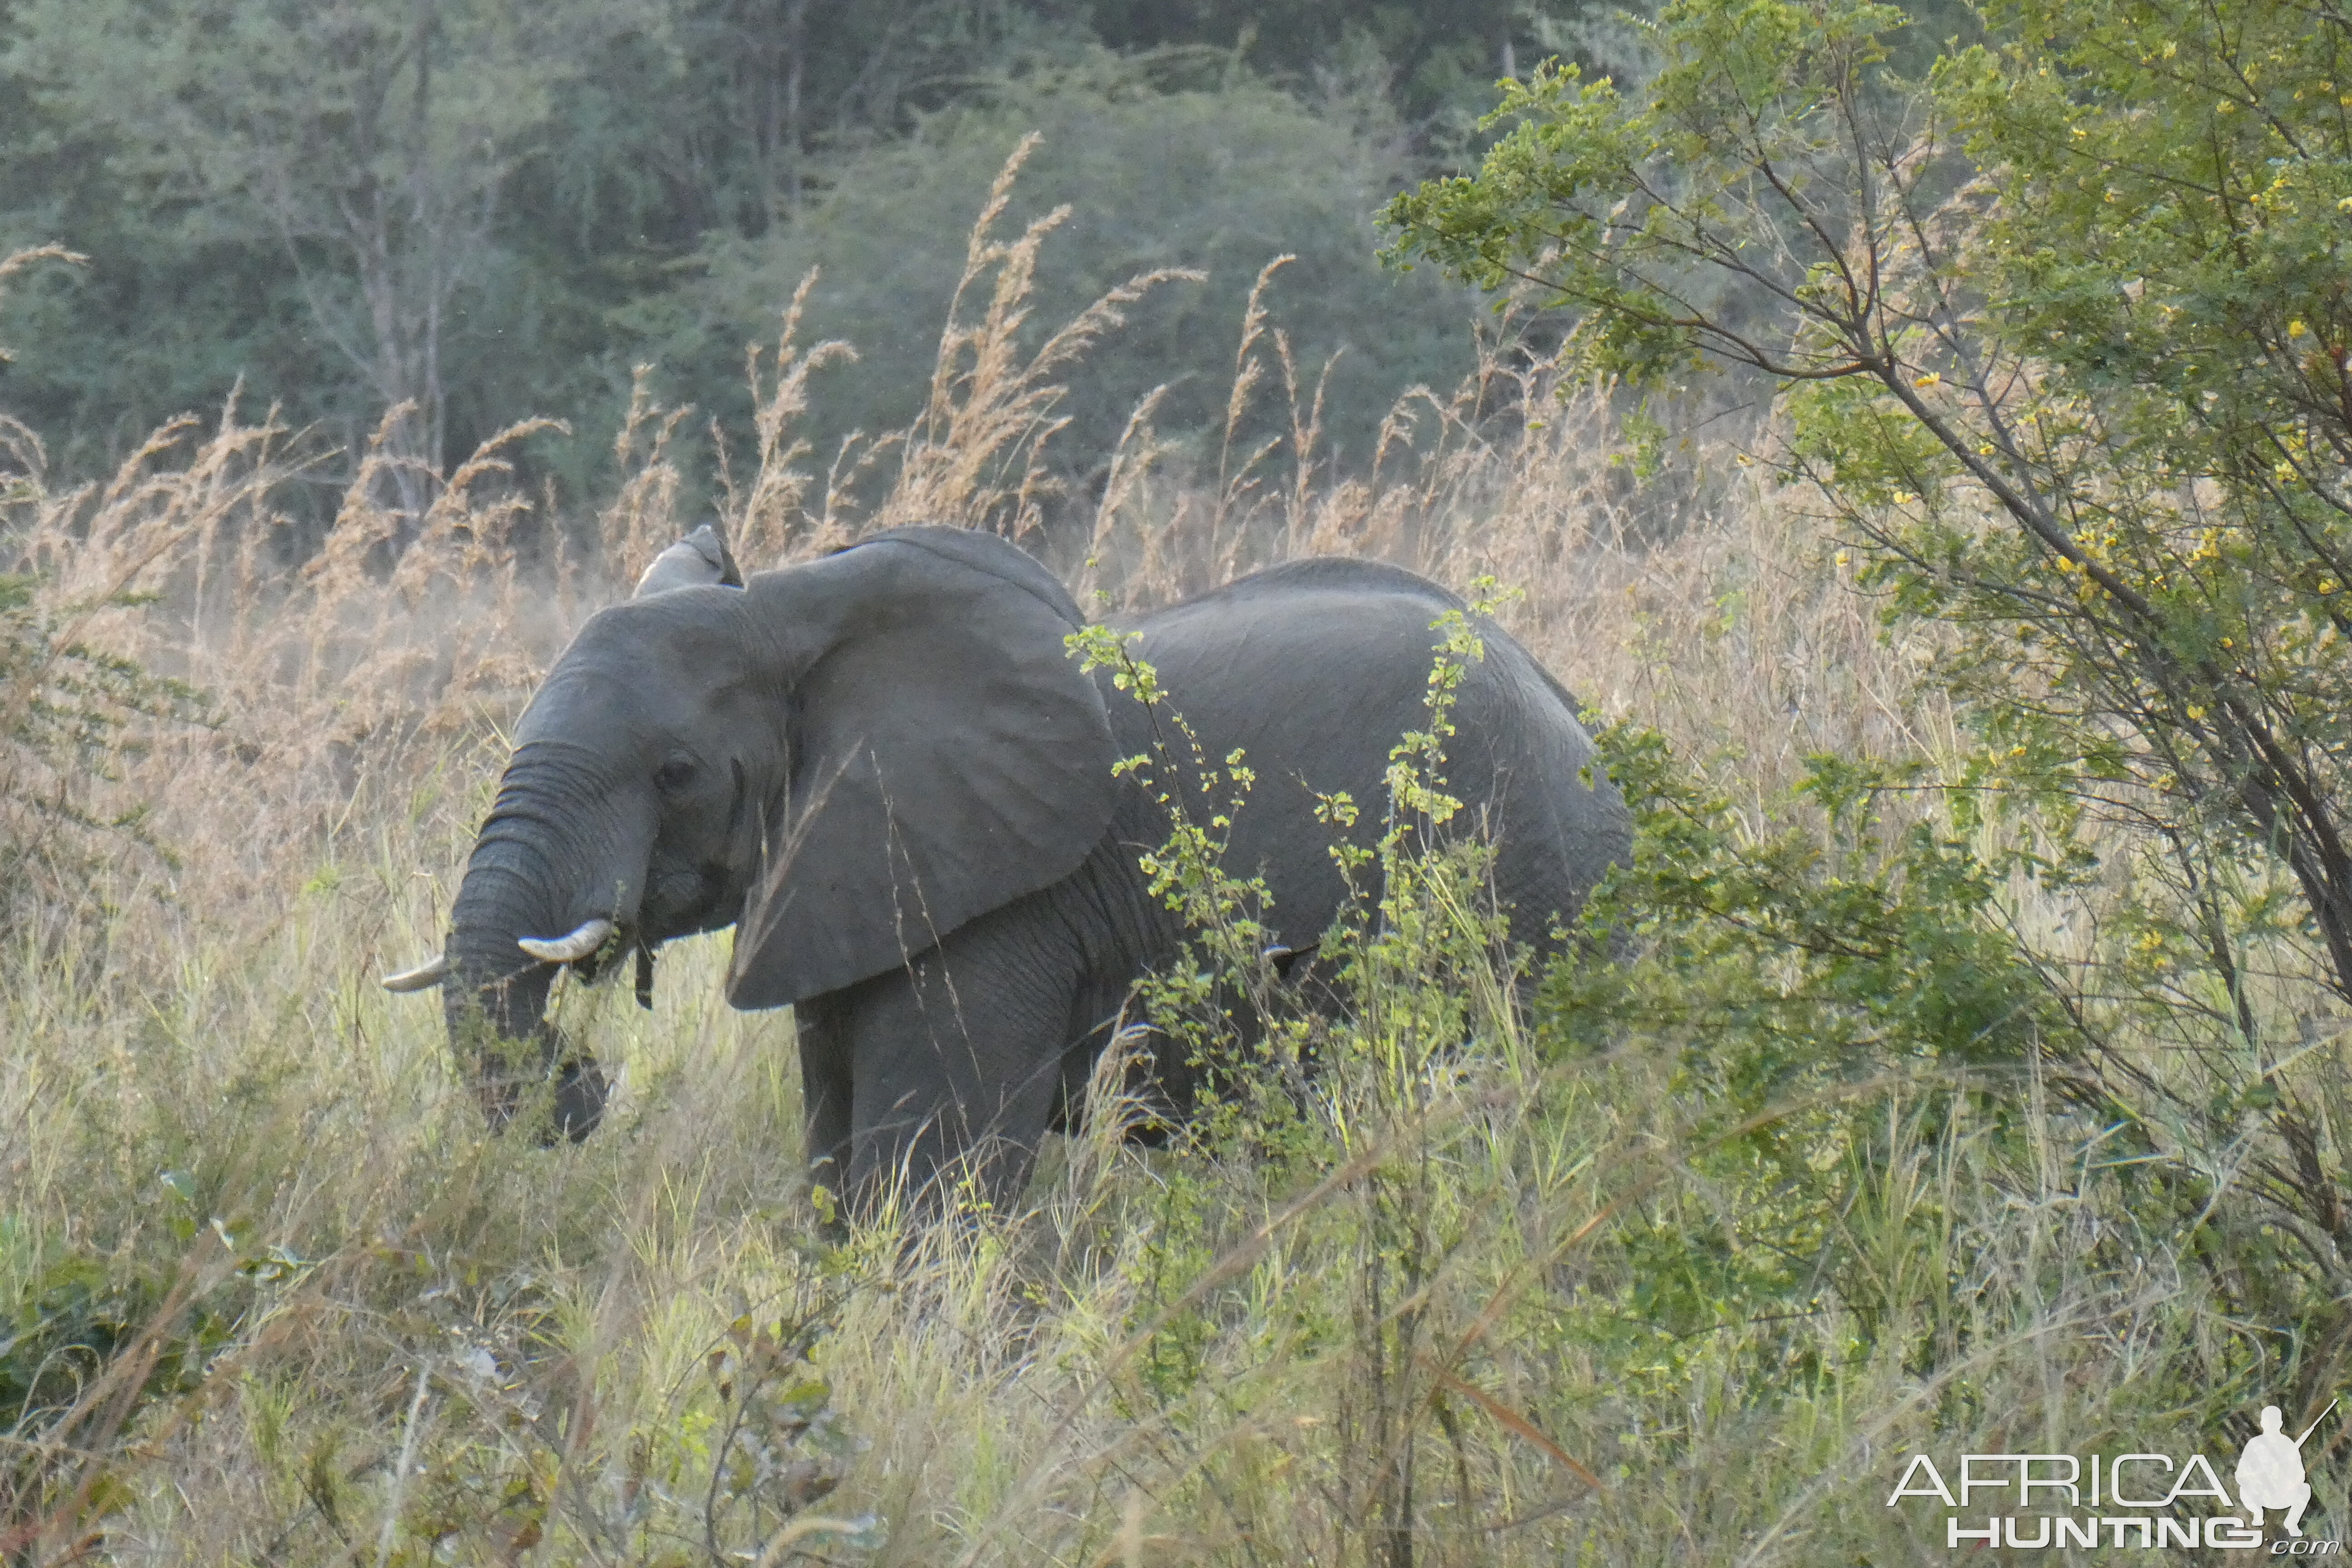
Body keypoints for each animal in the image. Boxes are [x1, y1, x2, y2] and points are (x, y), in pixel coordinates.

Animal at [386, 524, 1637, 1213]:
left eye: (676, 771)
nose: (581, 1078)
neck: (794, 613)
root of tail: (1577, 719)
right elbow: (835, 1160)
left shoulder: (1001, 902)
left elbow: (924, 1180)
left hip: (1524, 896)